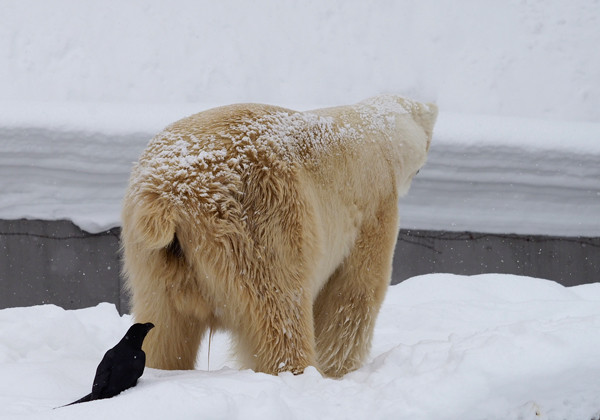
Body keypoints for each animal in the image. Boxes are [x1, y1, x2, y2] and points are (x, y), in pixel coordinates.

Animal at [122, 95, 438, 378]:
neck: (378, 134)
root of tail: (170, 196)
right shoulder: (373, 206)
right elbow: (354, 293)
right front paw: (339, 370)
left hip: (151, 259)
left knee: (163, 328)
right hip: (261, 219)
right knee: (280, 308)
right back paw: (297, 372)